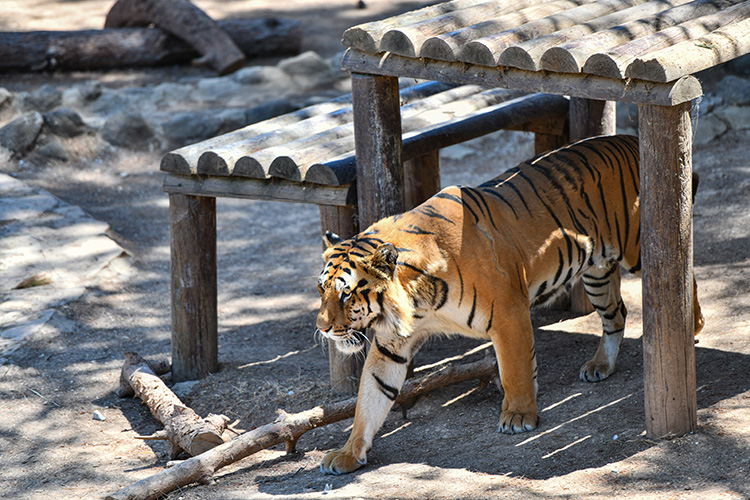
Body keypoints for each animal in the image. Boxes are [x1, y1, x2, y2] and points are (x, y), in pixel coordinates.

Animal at [316, 135, 704, 474]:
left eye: (347, 293)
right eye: (322, 288)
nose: (322, 327)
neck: (416, 301)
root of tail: (631, 139)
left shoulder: (507, 313)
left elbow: (514, 370)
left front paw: (518, 417)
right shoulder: (391, 345)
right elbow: (370, 399)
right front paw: (348, 453)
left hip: (639, 249)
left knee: (681, 269)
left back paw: (694, 324)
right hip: (596, 272)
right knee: (616, 314)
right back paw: (600, 366)